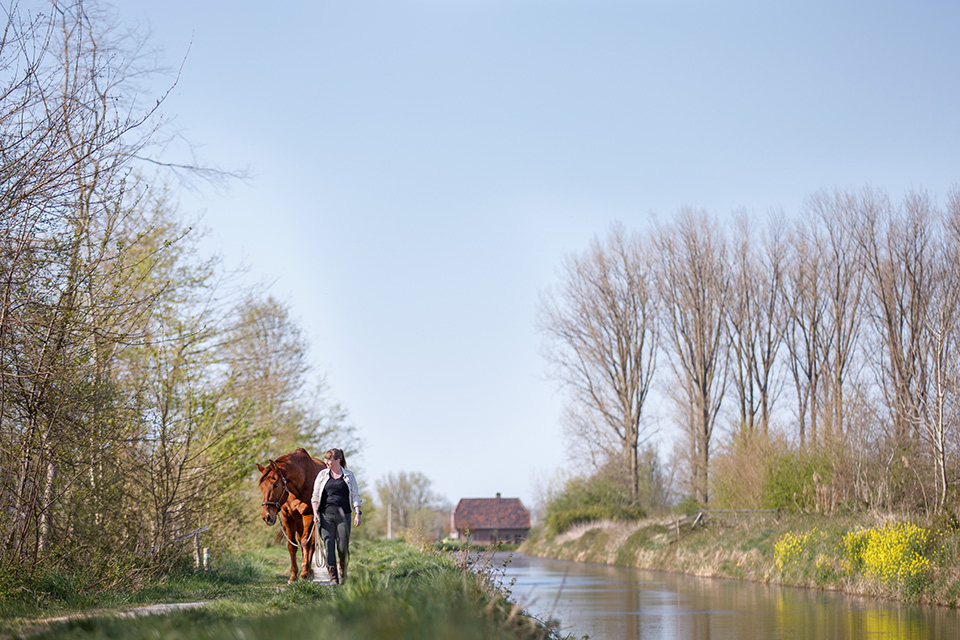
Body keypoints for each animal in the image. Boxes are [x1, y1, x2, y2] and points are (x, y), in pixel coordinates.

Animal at [257, 448, 327, 582]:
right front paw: (293, 575)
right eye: (262, 487)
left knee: (310, 543)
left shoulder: (309, 514)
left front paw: (304, 573)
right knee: (300, 539)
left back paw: (308, 571)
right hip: (298, 519)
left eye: (275, 485)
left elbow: (306, 542)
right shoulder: (287, 516)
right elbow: (292, 545)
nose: (266, 516)